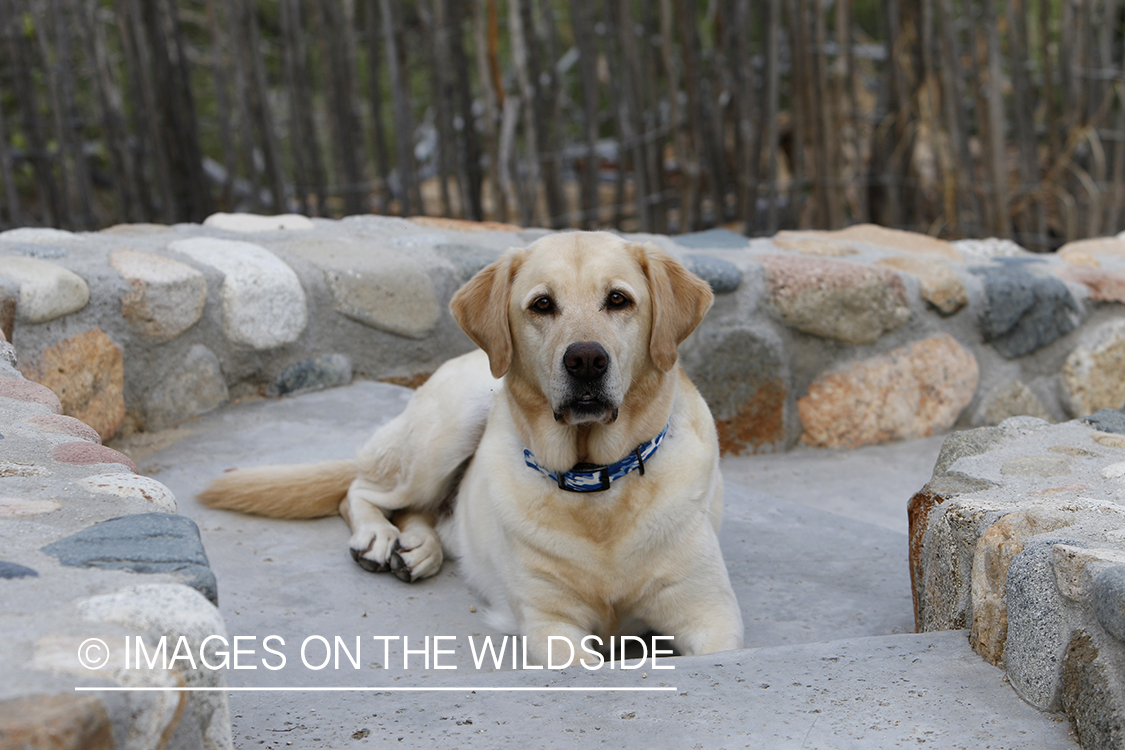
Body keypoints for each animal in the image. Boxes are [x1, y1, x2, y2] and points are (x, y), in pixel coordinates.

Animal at [200, 230, 747, 661]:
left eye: (618, 300)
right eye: (542, 304)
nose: (586, 360)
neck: (596, 482)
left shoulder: (710, 614)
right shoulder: (550, 627)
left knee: (425, 510)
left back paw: (418, 549)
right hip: (447, 429)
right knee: (361, 490)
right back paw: (379, 538)